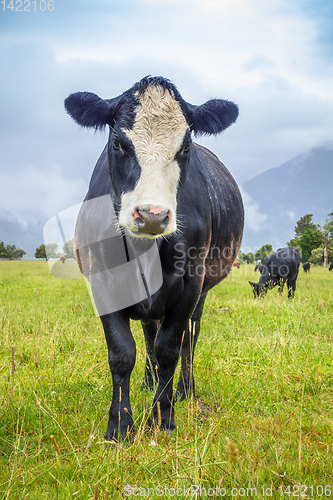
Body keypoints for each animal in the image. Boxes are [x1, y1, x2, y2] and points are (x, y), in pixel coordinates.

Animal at [64, 75, 244, 442]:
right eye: (118, 144)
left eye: (185, 147)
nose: (151, 215)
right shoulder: (102, 282)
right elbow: (123, 352)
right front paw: (119, 426)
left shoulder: (190, 284)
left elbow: (169, 349)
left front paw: (164, 418)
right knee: (148, 334)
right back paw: (149, 383)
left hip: (201, 290)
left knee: (189, 337)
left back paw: (185, 391)